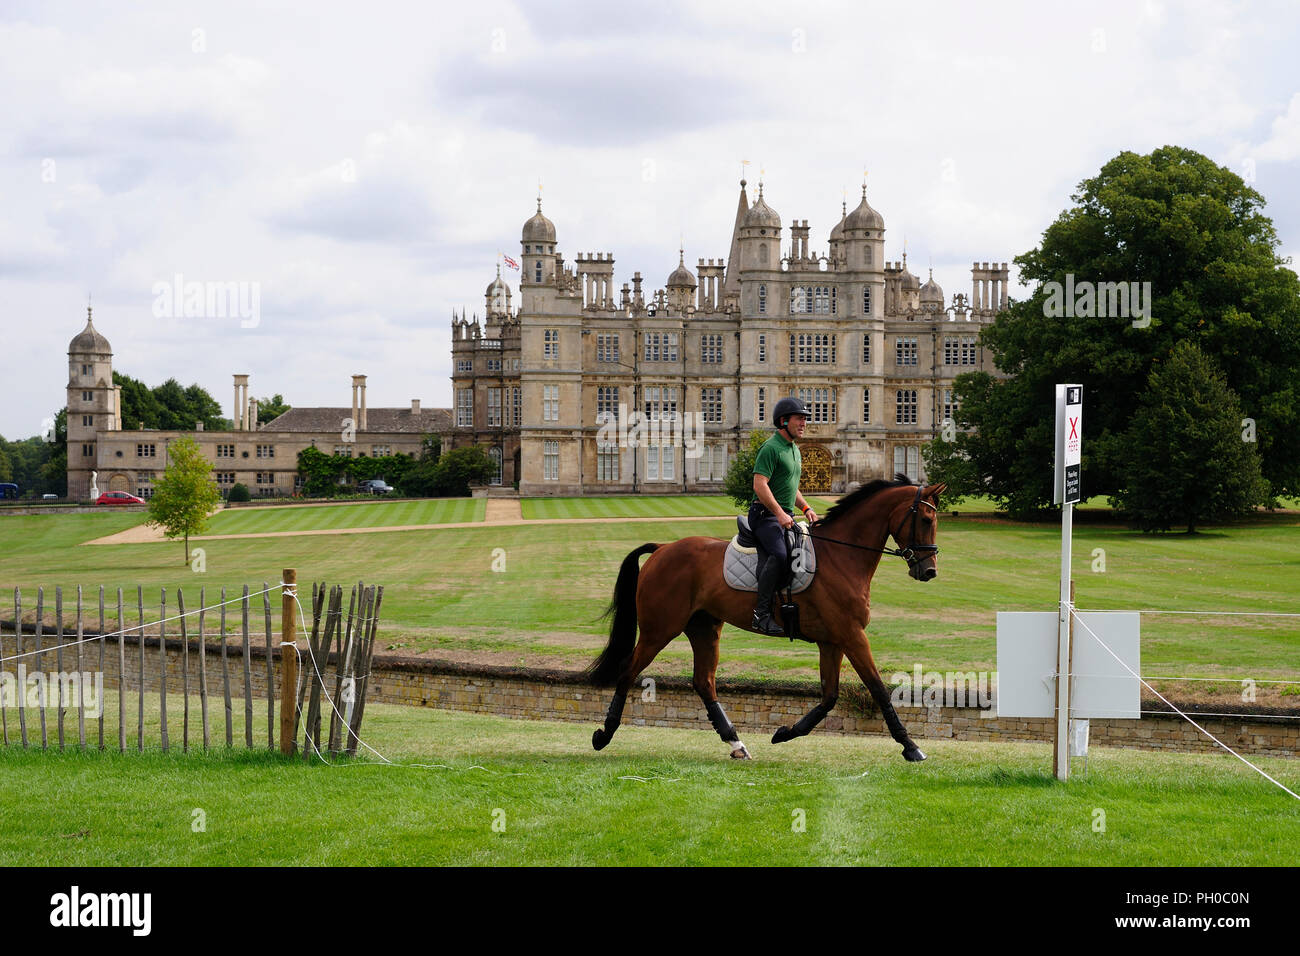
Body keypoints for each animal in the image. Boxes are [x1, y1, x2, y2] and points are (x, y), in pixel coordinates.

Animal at [587, 476, 946, 764]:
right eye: (926, 518)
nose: (929, 571)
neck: (841, 556)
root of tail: (663, 548)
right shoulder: (852, 635)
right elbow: (878, 689)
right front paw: (911, 746)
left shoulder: (832, 641)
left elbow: (830, 696)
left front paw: (785, 732)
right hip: (659, 631)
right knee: (628, 672)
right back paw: (604, 734)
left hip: (705, 629)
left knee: (704, 682)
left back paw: (736, 743)